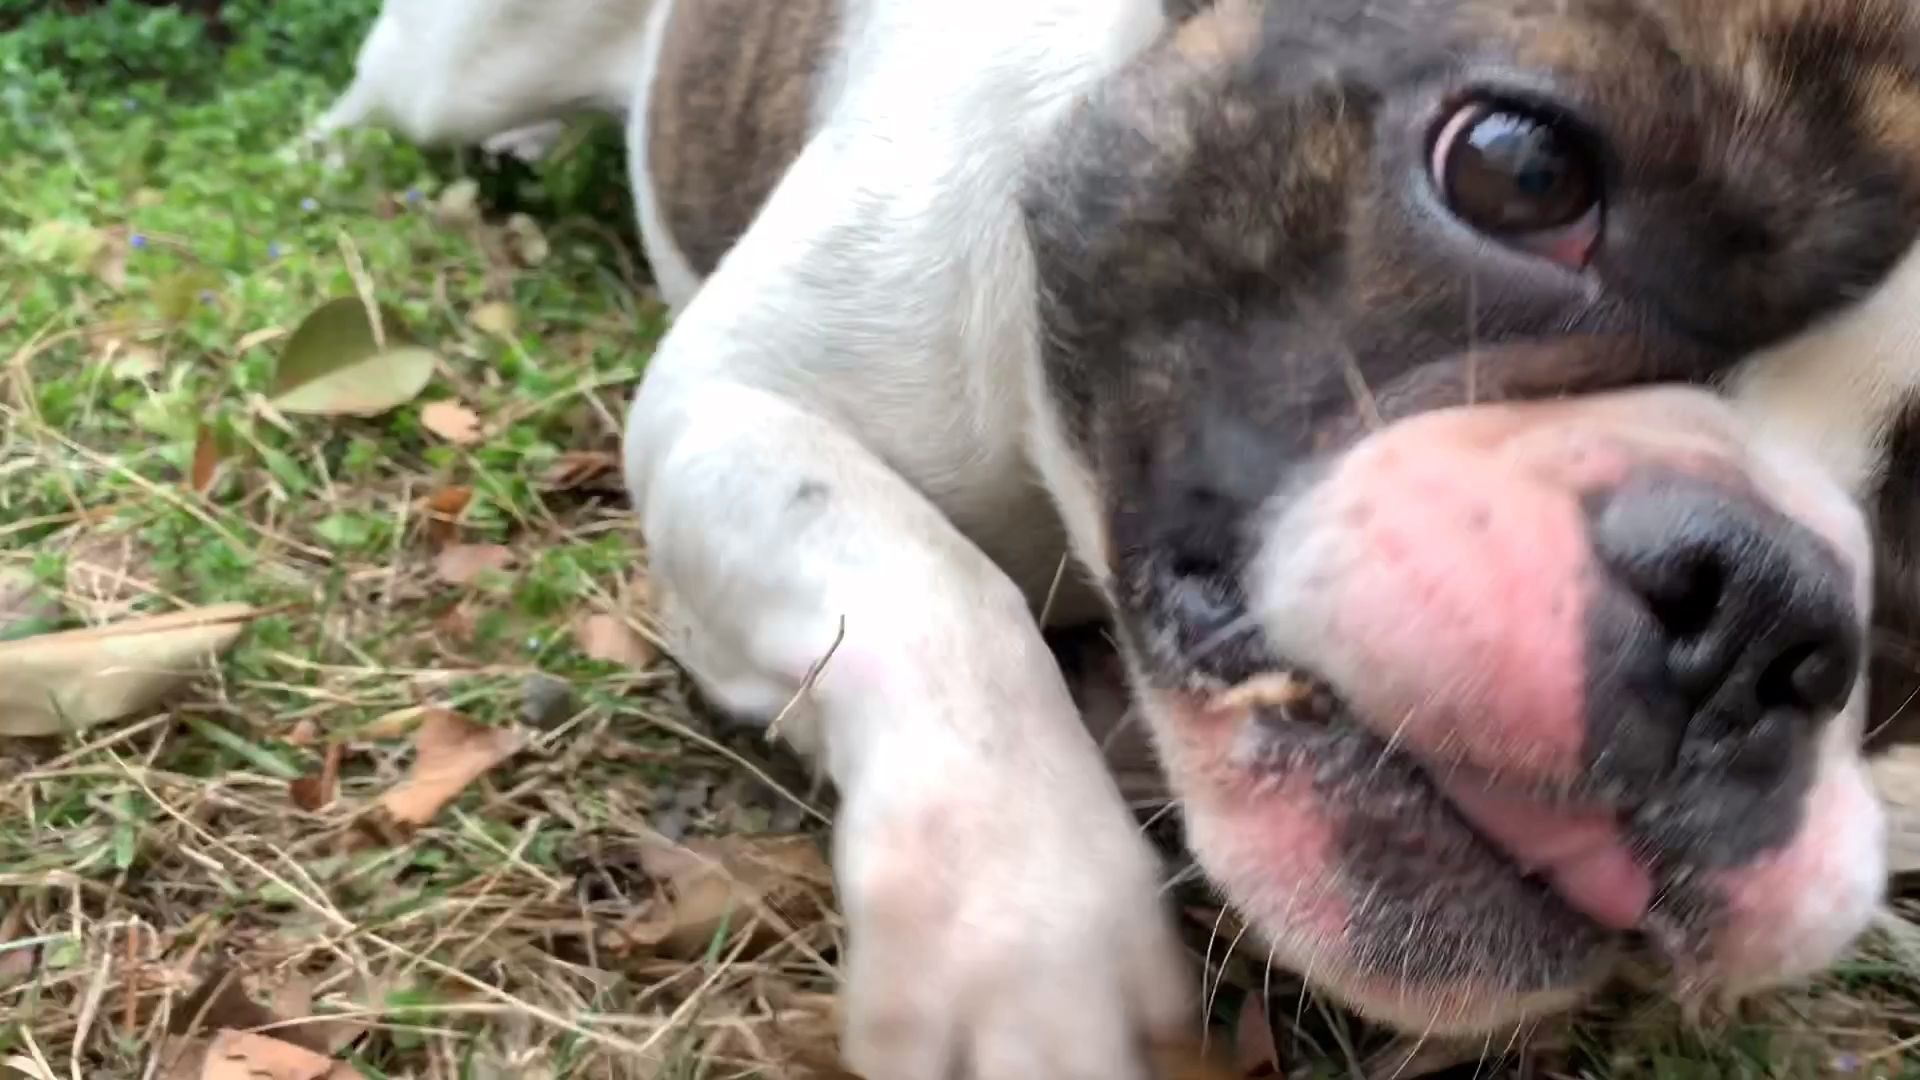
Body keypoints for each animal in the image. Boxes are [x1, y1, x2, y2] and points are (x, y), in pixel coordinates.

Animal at [314, 0, 1920, 1068]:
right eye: (1520, 171)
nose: (1759, 605)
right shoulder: (741, 409)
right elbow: (929, 589)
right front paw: (1022, 929)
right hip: (466, 60)